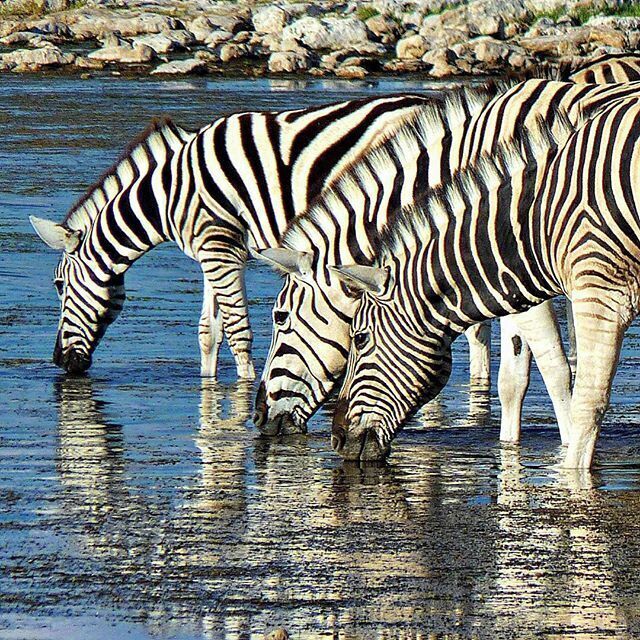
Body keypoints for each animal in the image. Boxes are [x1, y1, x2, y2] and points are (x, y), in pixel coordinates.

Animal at [30, 94, 437, 378]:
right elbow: (209, 331)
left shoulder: (218, 246)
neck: (167, 193)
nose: (59, 362)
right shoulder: (214, 253)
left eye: (58, 285)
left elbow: (239, 331)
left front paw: (245, 389)